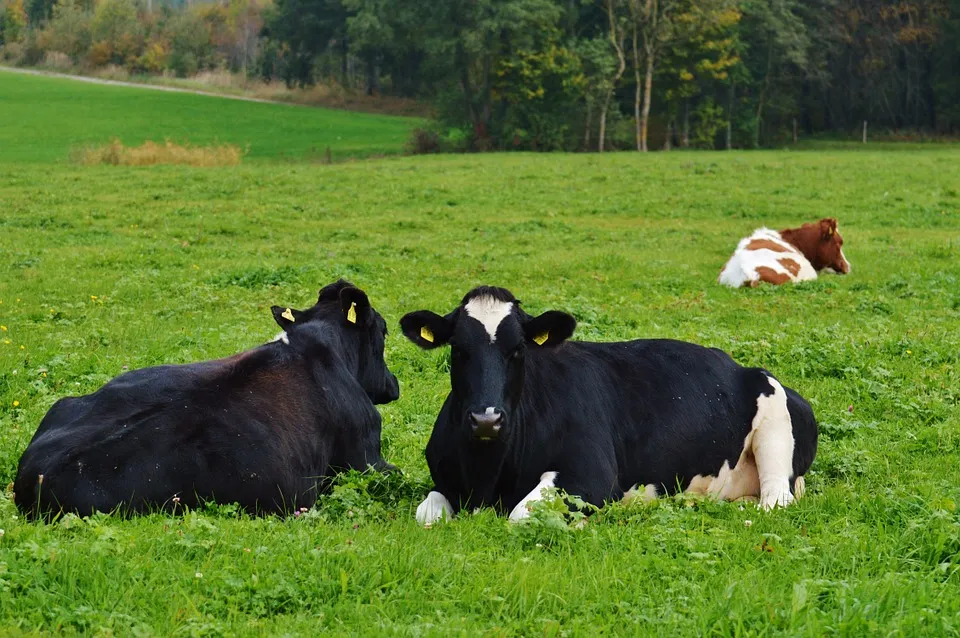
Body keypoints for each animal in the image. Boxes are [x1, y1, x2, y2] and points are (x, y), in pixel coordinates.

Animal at [400, 287, 818, 525]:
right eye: (458, 349)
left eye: (518, 349)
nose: (486, 420)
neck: (487, 476)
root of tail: (742, 367)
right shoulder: (445, 481)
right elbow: (426, 514)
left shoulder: (591, 475)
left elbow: (521, 514)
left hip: (776, 432)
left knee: (775, 500)